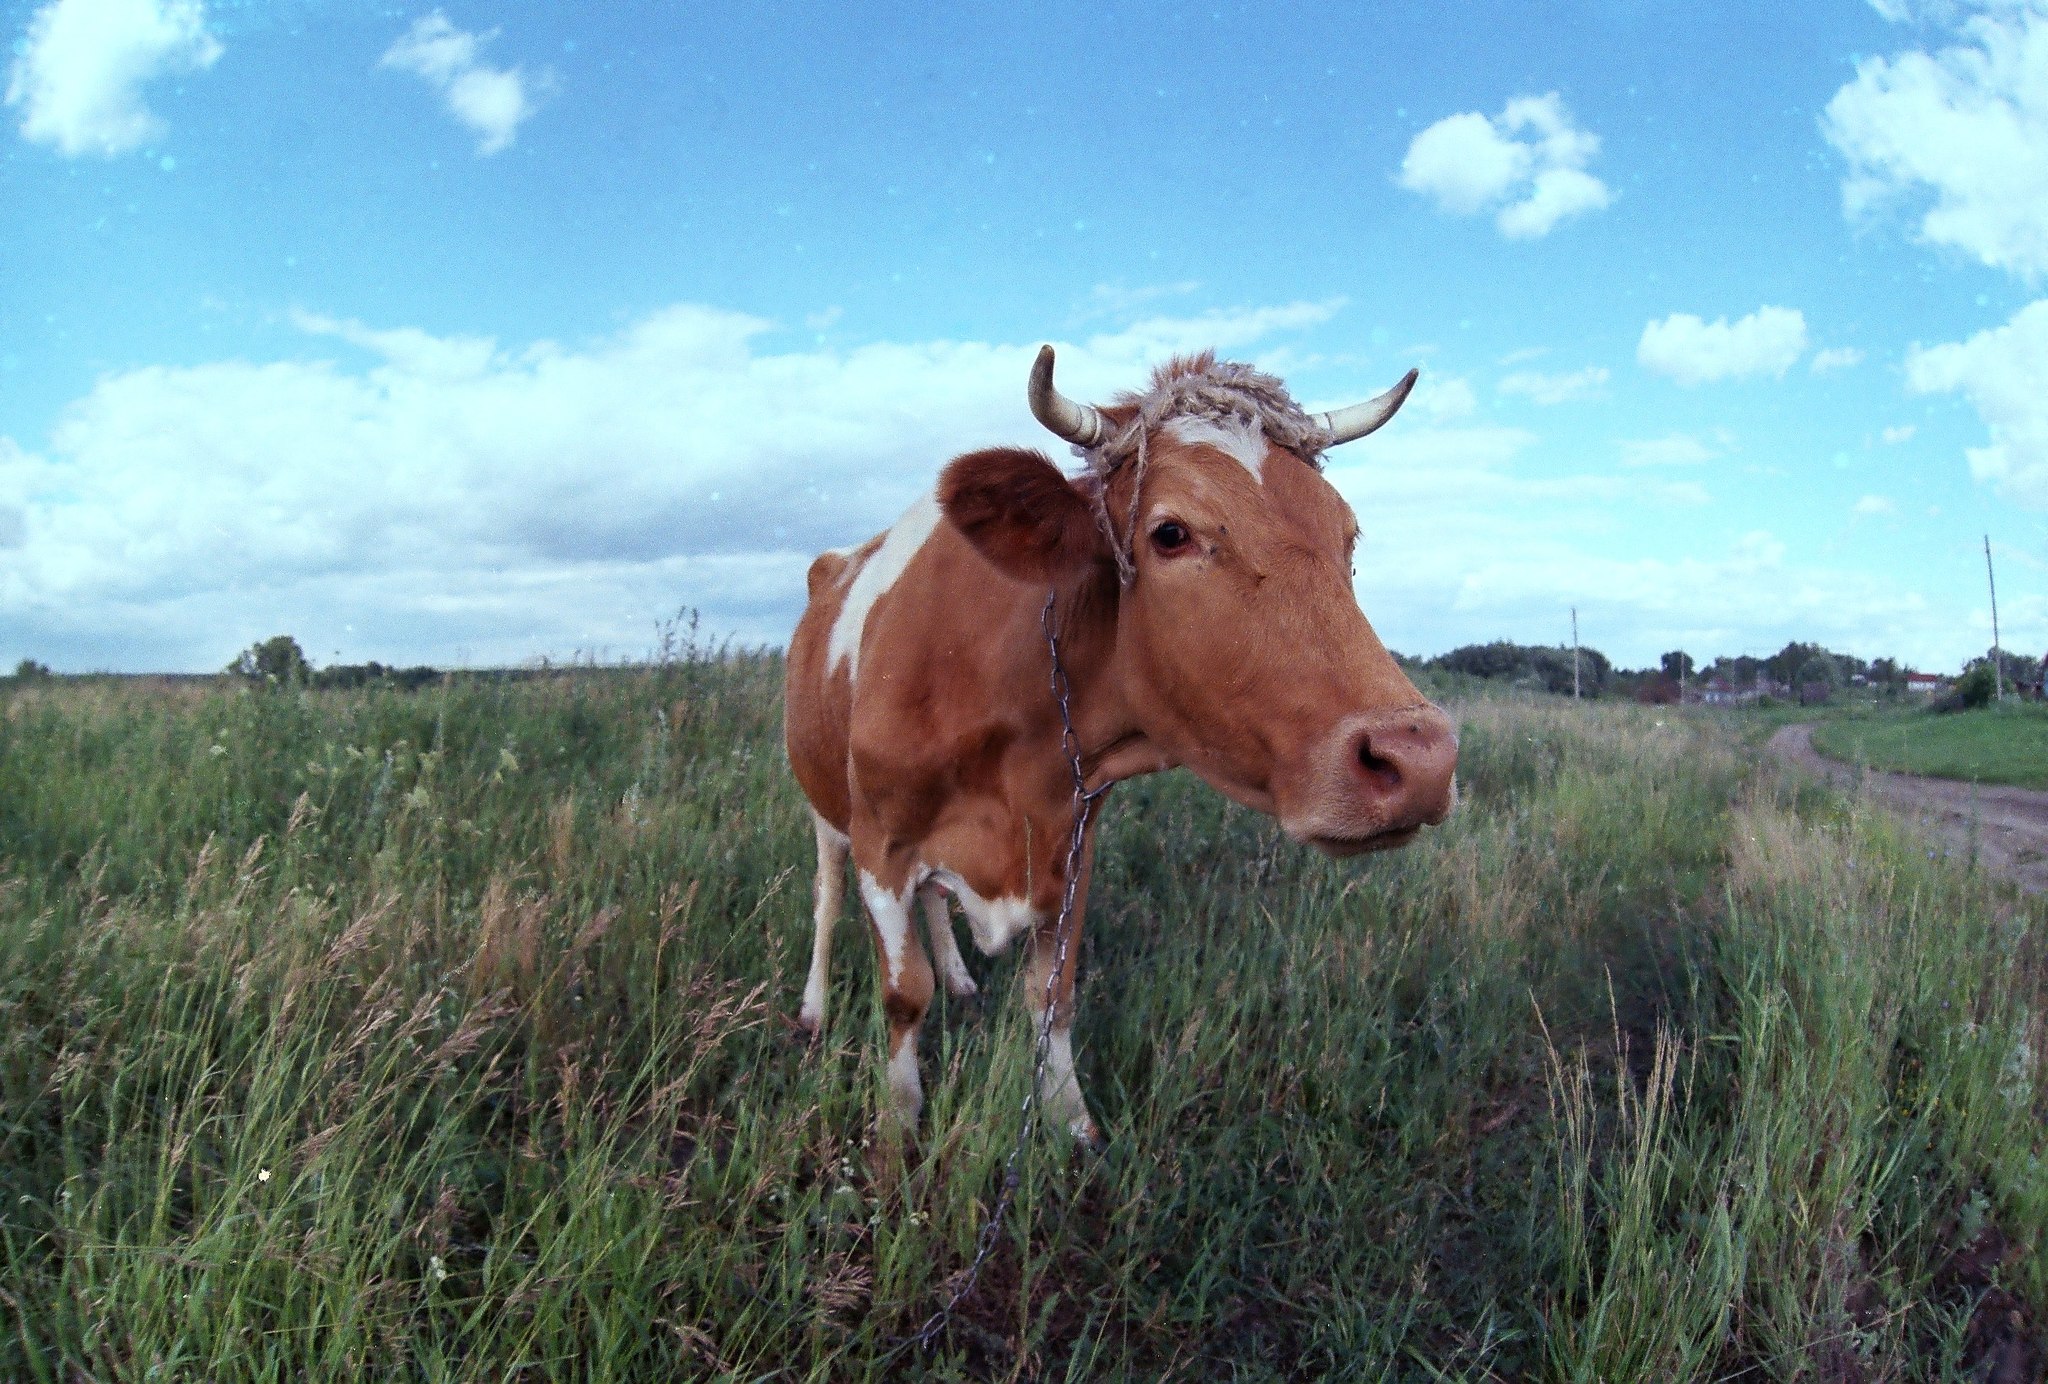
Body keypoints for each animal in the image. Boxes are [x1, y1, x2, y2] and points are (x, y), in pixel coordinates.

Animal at [778, 346, 1458, 1146]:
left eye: (1346, 536)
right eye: (1170, 532)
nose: (1420, 758)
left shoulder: (1074, 844)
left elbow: (1054, 993)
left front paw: (1071, 1122)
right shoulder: (883, 844)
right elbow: (903, 995)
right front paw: (897, 1121)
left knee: (936, 908)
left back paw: (961, 976)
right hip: (824, 807)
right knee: (825, 898)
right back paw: (814, 1009)